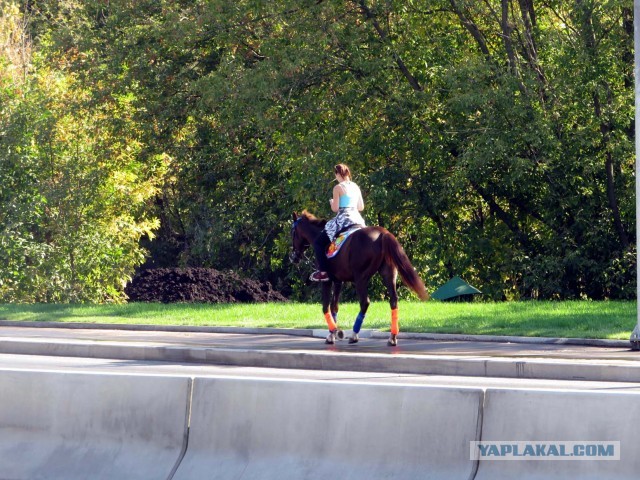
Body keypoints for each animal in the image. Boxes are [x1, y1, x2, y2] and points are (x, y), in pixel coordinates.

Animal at [292, 210, 430, 344]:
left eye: (292, 233)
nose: (293, 257)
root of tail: (382, 233)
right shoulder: (338, 281)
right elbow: (334, 306)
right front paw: (332, 333)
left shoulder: (327, 281)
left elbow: (325, 306)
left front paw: (334, 332)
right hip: (388, 274)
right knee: (393, 301)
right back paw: (392, 337)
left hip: (361, 278)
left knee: (365, 302)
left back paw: (354, 335)